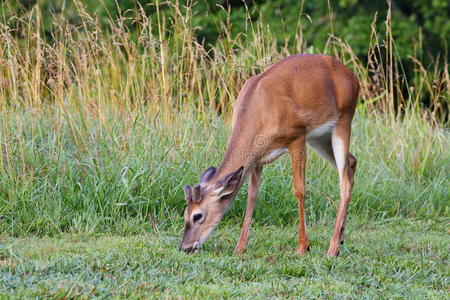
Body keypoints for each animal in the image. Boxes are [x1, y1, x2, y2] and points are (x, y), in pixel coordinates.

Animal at [179, 53, 358, 255]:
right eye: (185, 213)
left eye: (197, 215)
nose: (185, 247)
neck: (259, 112)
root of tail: (353, 76)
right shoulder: (256, 158)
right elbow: (252, 195)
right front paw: (240, 247)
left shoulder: (297, 137)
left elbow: (299, 190)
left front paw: (303, 246)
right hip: (319, 136)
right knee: (352, 161)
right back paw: (340, 239)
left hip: (343, 120)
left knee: (344, 179)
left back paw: (332, 248)